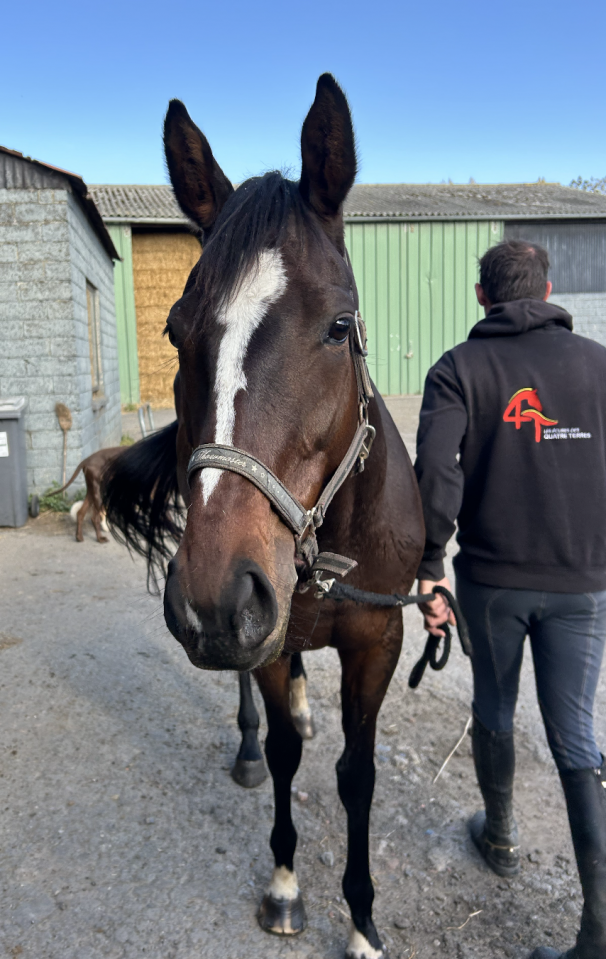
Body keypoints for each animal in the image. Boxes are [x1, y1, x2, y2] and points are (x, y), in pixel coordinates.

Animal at [104, 74, 424, 959]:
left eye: (340, 326)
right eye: (175, 332)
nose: (217, 600)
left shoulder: (379, 639)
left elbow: (359, 775)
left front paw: (363, 919)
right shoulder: (266, 629)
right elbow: (281, 752)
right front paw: (284, 885)